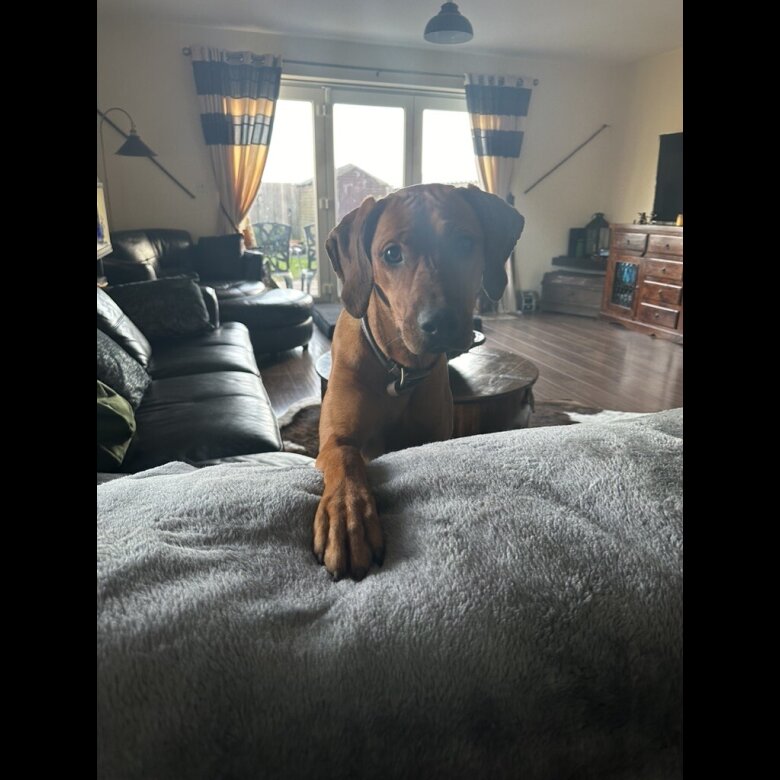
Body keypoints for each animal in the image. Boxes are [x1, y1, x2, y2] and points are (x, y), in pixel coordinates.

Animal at [314, 183, 525, 581]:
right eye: (391, 253)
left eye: (464, 243)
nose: (440, 323)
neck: (398, 370)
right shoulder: (337, 438)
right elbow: (346, 461)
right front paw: (348, 520)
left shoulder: (433, 436)